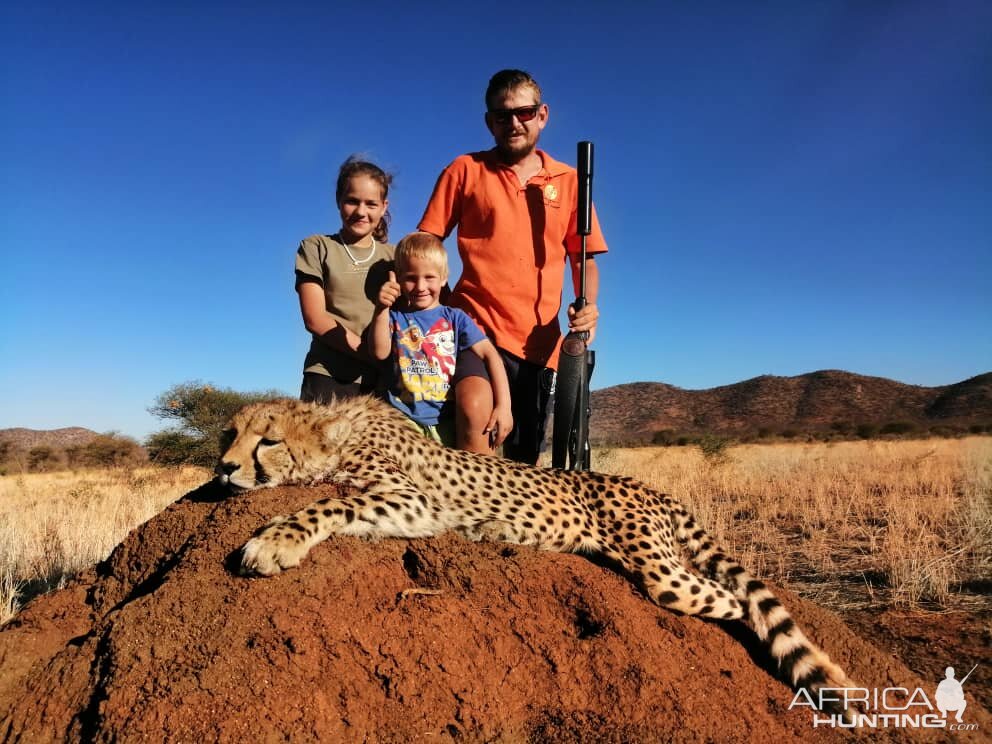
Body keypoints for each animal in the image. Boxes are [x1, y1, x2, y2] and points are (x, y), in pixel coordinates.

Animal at [221, 398, 856, 712]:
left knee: (735, 601)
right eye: (229, 433)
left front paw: (273, 542)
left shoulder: (413, 501)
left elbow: (329, 503)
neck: (339, 431)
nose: (224, 467)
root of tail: (650, 487)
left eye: (268, 440)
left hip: (661, 574)